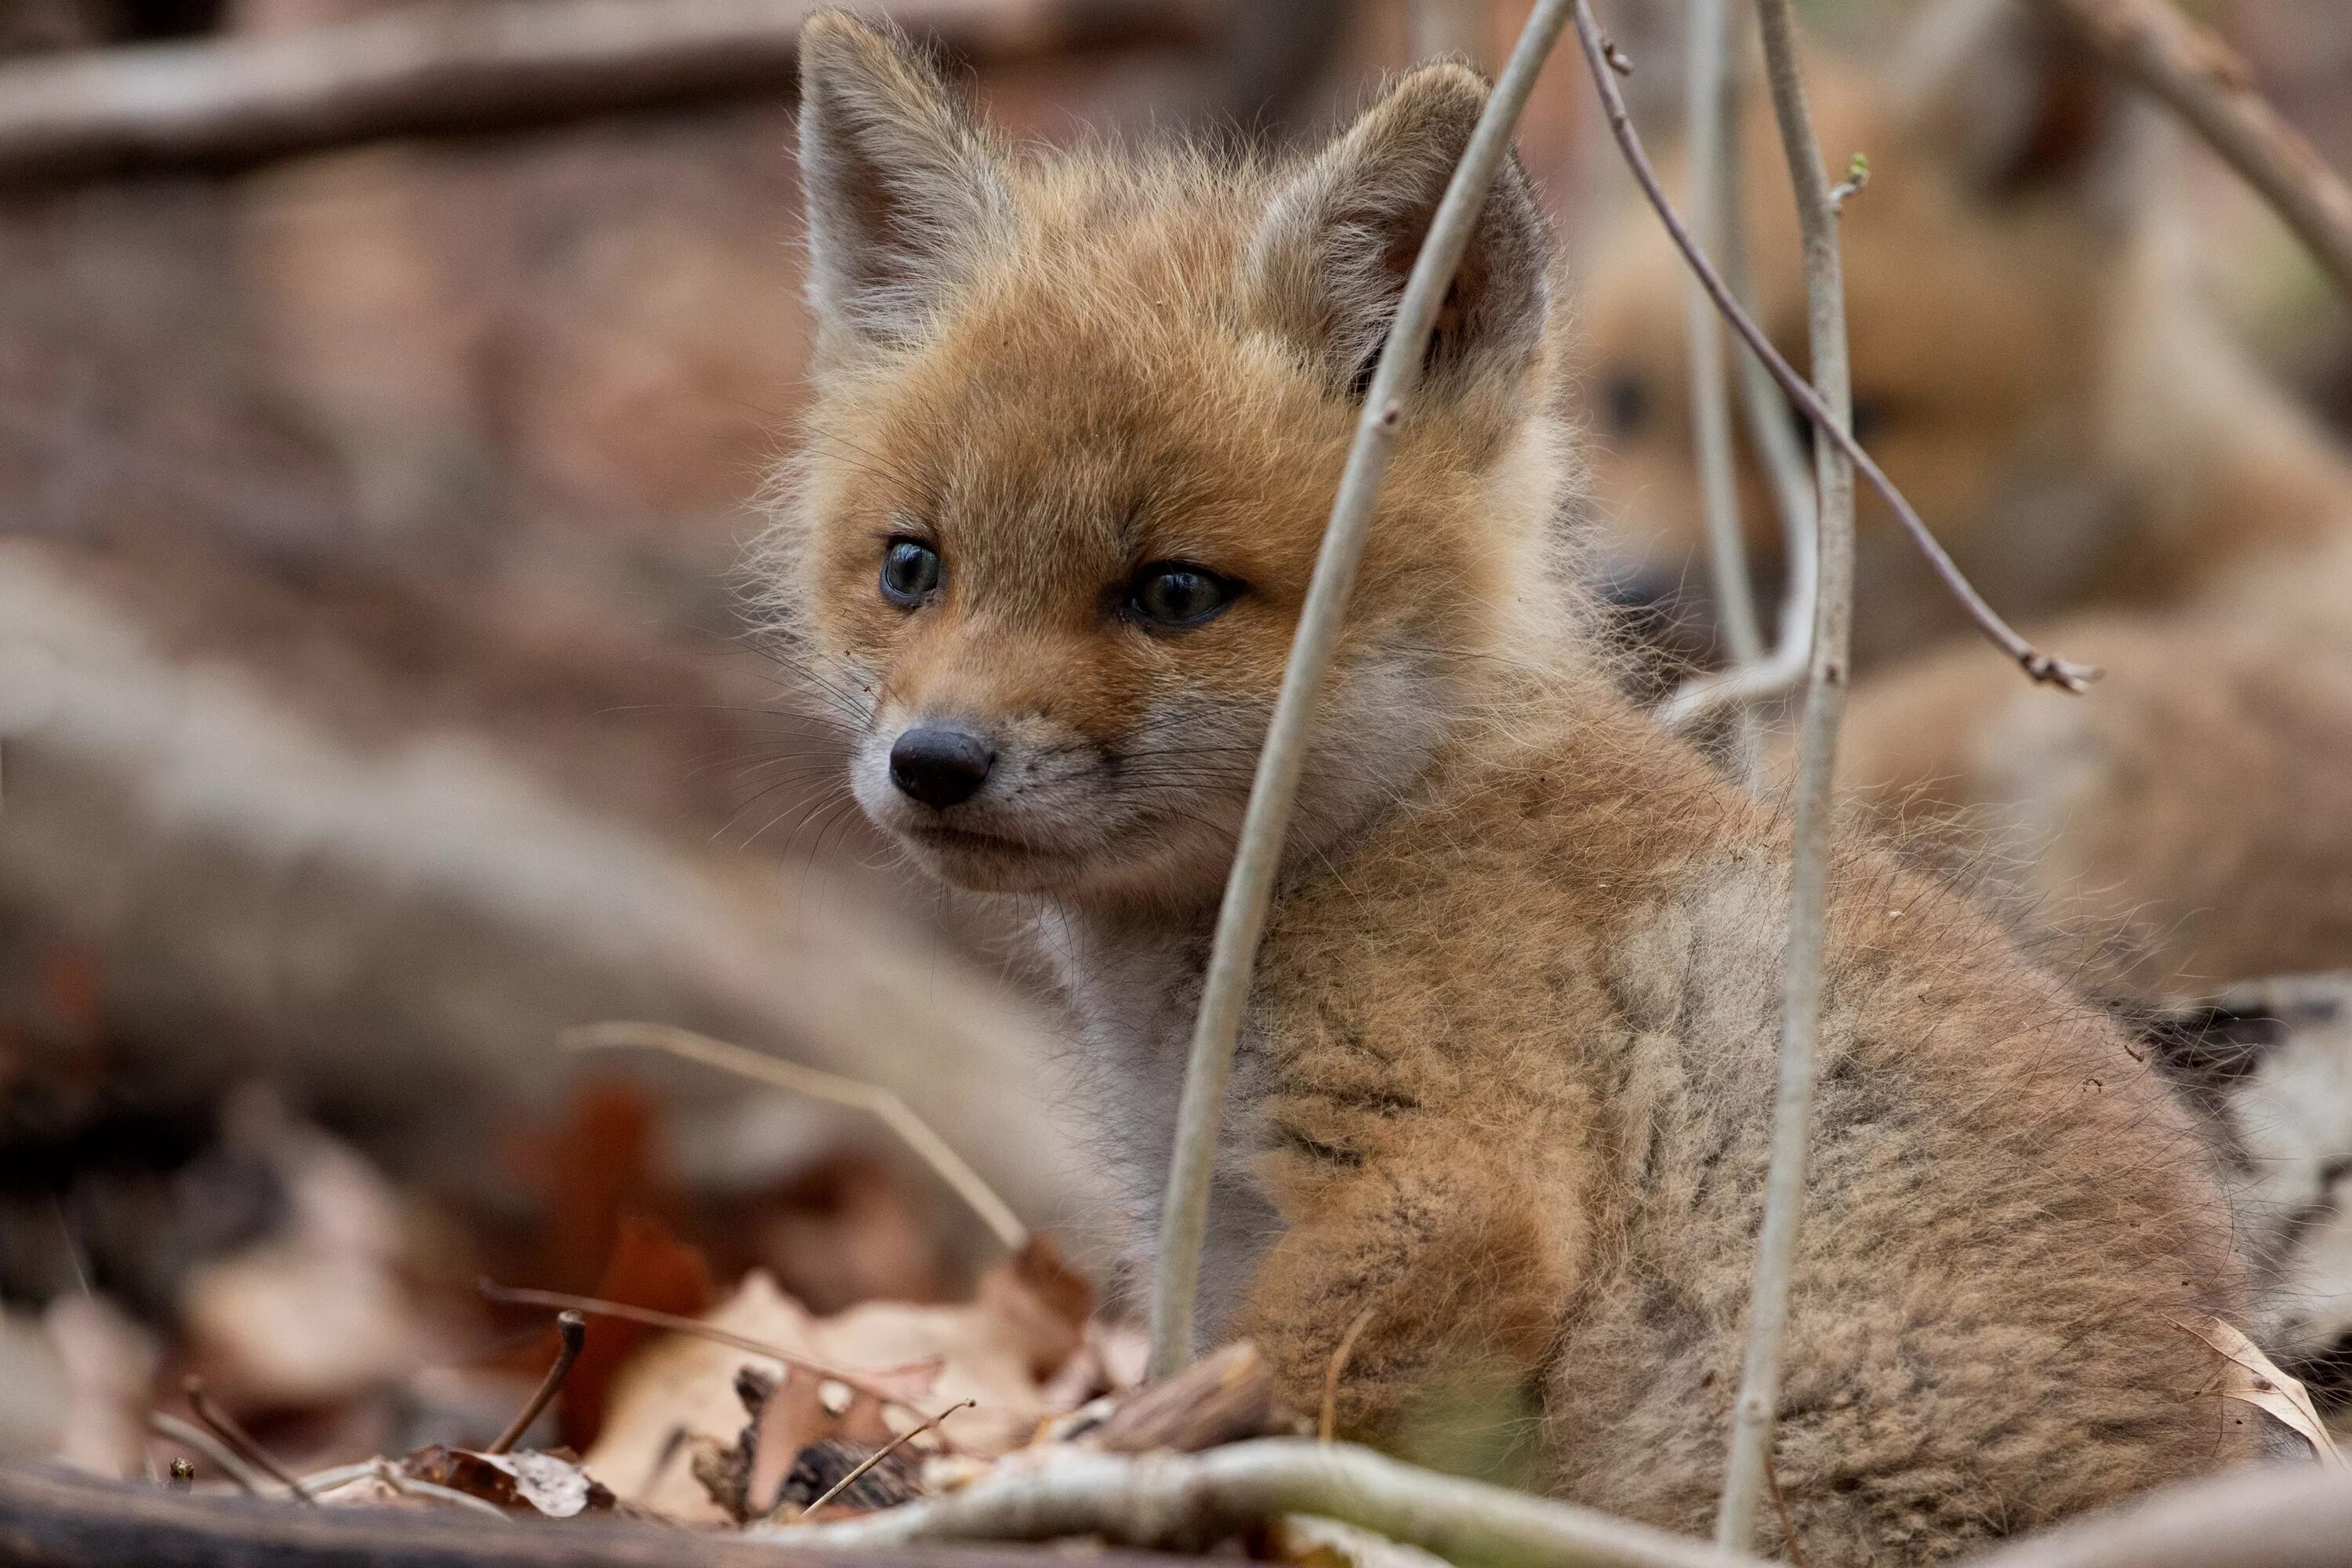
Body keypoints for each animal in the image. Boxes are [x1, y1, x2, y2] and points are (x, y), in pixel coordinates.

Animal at [763, 14, 2262, 1560]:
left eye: (1173, 594)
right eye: (911, 569)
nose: (934, 763)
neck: (1365, 833)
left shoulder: (1459, 1186)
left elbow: (1263, 1415)